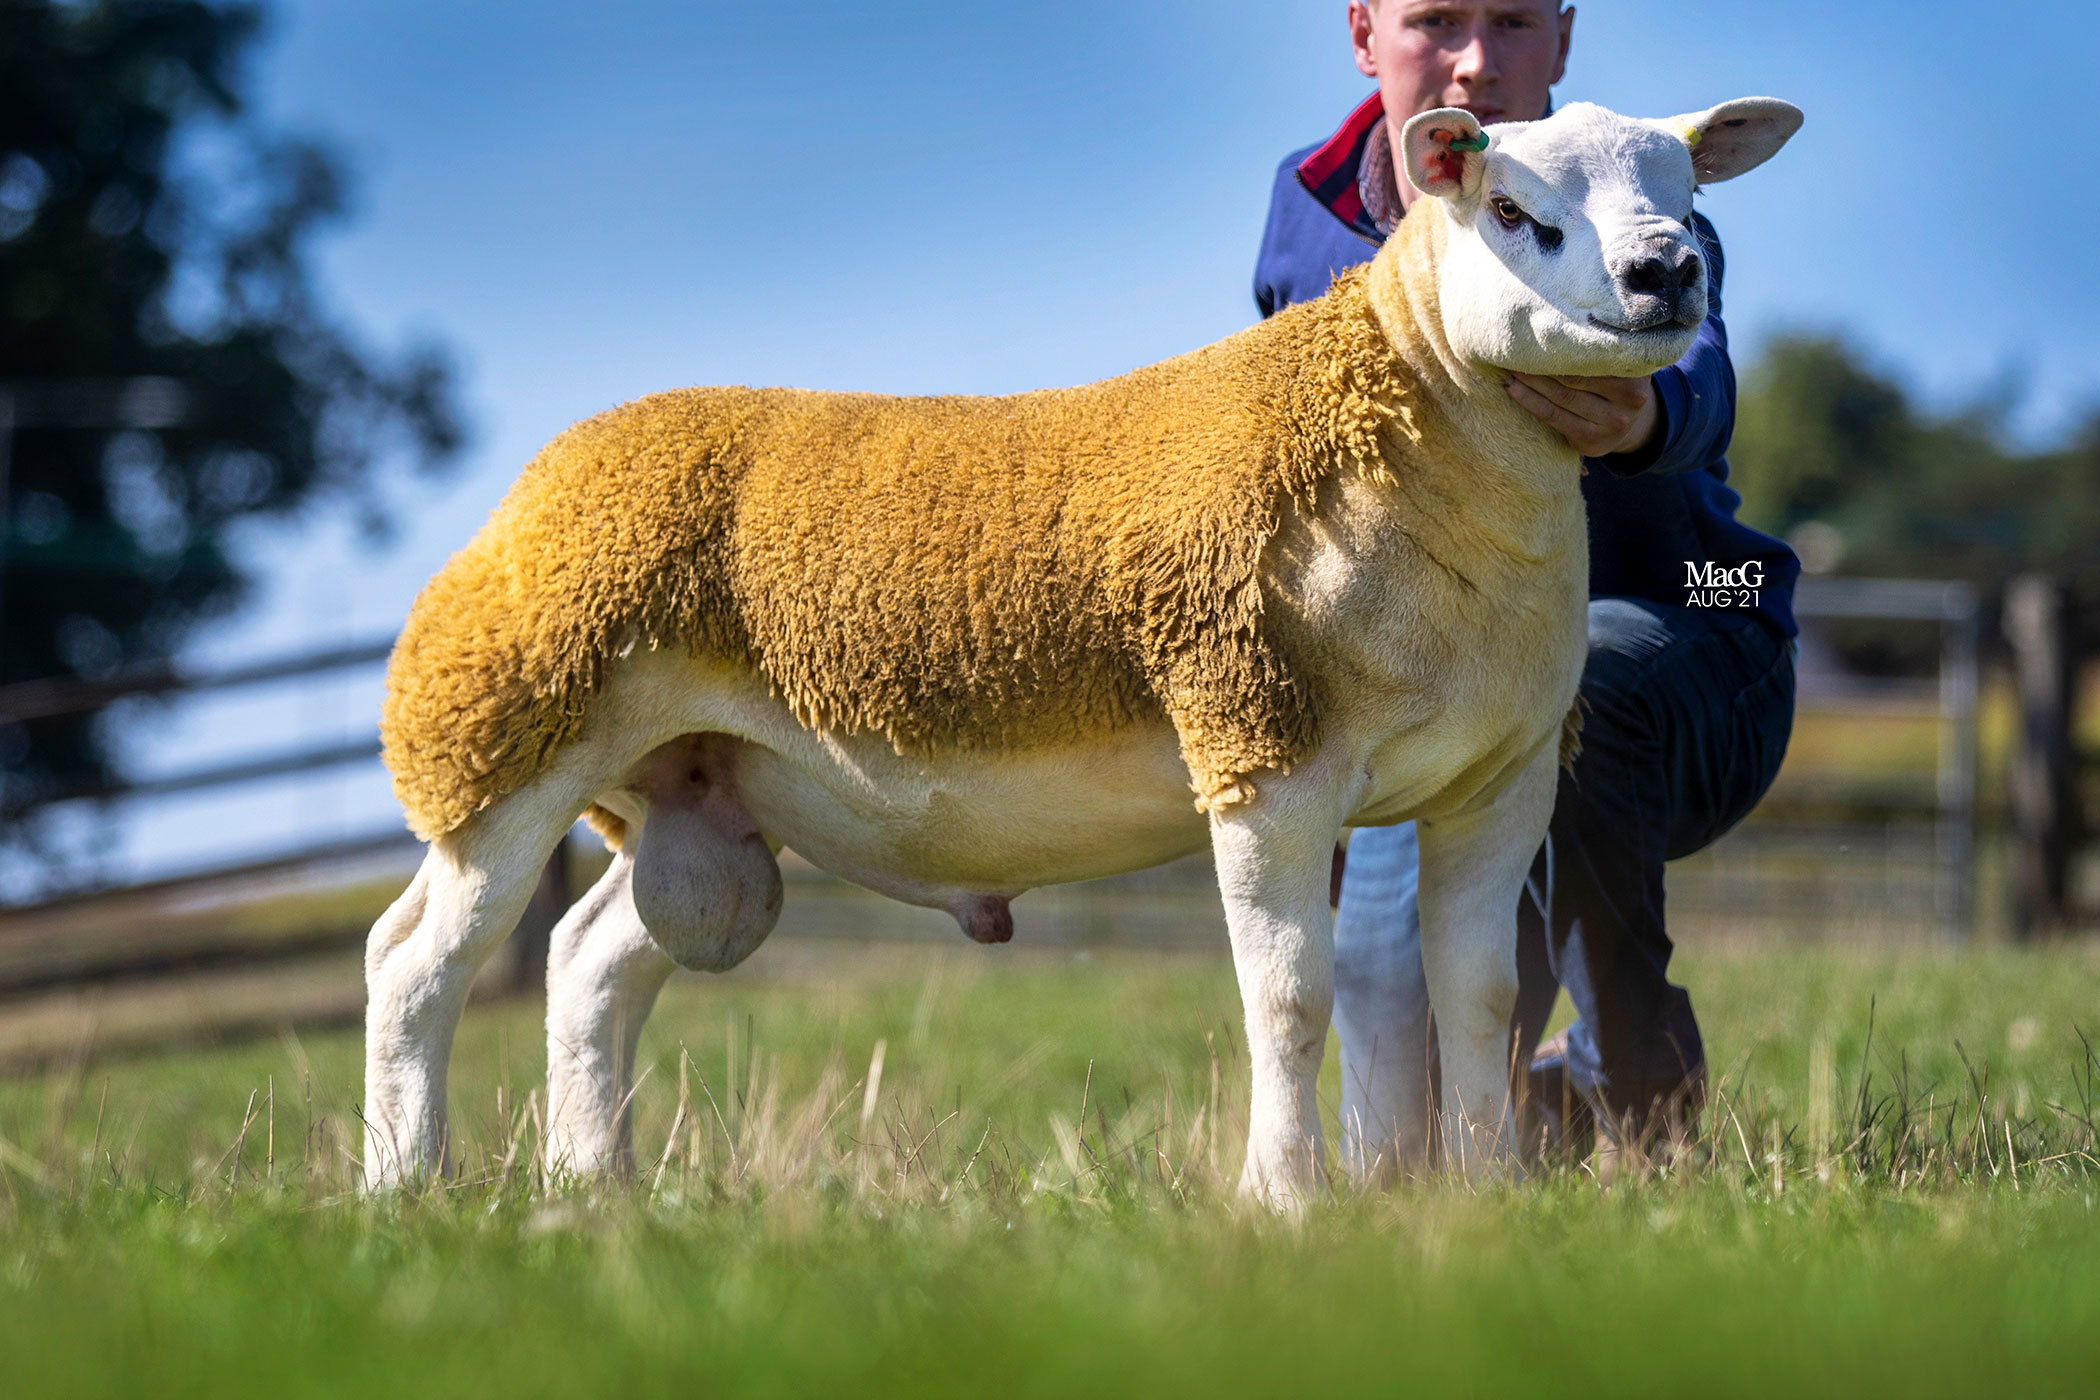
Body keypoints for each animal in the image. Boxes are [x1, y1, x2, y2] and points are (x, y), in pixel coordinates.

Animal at [365, 96, 1805, 1208]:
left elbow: (1477, 996)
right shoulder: (1257, 744)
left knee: (588, 964)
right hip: (502, 736)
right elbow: (1288, 999)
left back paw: (590, 1191)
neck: (1409, 433)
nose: (1667, 276)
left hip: (698, 790)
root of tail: (558, 463)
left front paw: (1489, 1195)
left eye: (1688, 198)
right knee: (414, 963)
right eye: (1514, 211)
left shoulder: (1499, 778)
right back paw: (405, 1191)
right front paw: (1284, 1200)